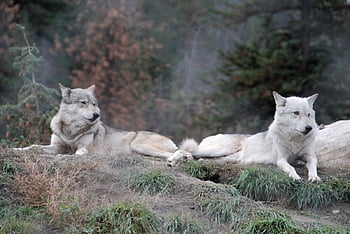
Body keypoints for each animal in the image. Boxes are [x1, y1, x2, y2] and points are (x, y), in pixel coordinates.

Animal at [13, 83, 191, 164]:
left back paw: (175, 159)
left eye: (94, 104)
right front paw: (18, 149)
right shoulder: (57, 146)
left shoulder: (83, 147)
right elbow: (34, 147)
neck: (72, 131)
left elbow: (78, 153)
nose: (97, 114)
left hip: (140, 146)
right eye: (83, 103)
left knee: (180, 152)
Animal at [176, 91, 322, 183]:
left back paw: (198, 161)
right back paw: (175, 160)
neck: (295, 140)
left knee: (204, 159)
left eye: (308, 114)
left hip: (227, 158)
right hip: (217, 150)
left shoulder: (309, 156)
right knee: (183, 150)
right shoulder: (281, 160)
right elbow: (291, 167)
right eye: (296, 113)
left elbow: (313, 164)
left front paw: (314, 177)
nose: (309, 128)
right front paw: (296, 177)